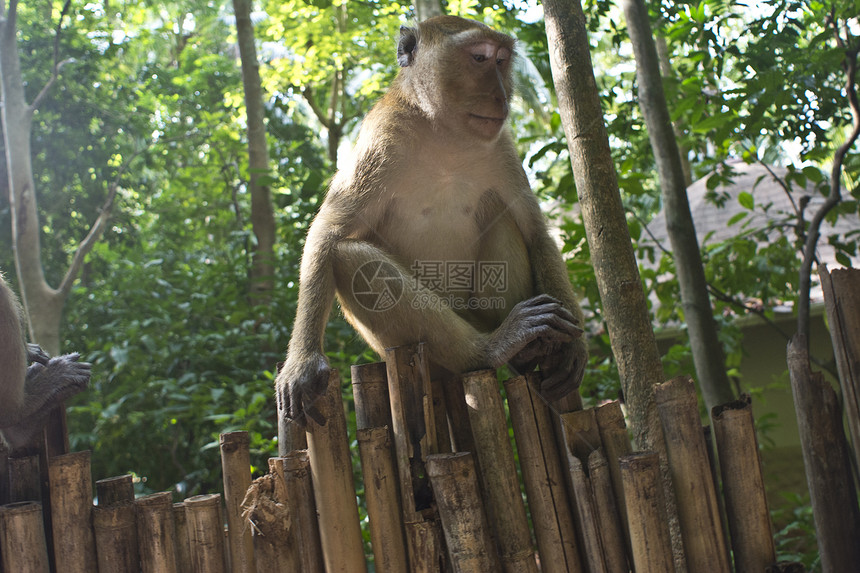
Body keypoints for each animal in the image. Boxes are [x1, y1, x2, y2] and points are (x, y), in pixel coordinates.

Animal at [278, 15, 588, 422]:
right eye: (479, 58)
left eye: (501, 60)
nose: (501, 95)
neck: (443, 132)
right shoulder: (383, 137)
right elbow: (328, 235)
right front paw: (302, 363)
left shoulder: (501, 145)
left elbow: (535, 232)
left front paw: (573, 347)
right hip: (404, 349)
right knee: (347, 258)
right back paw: (491, 348)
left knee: (499, 212)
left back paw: (529, 353)